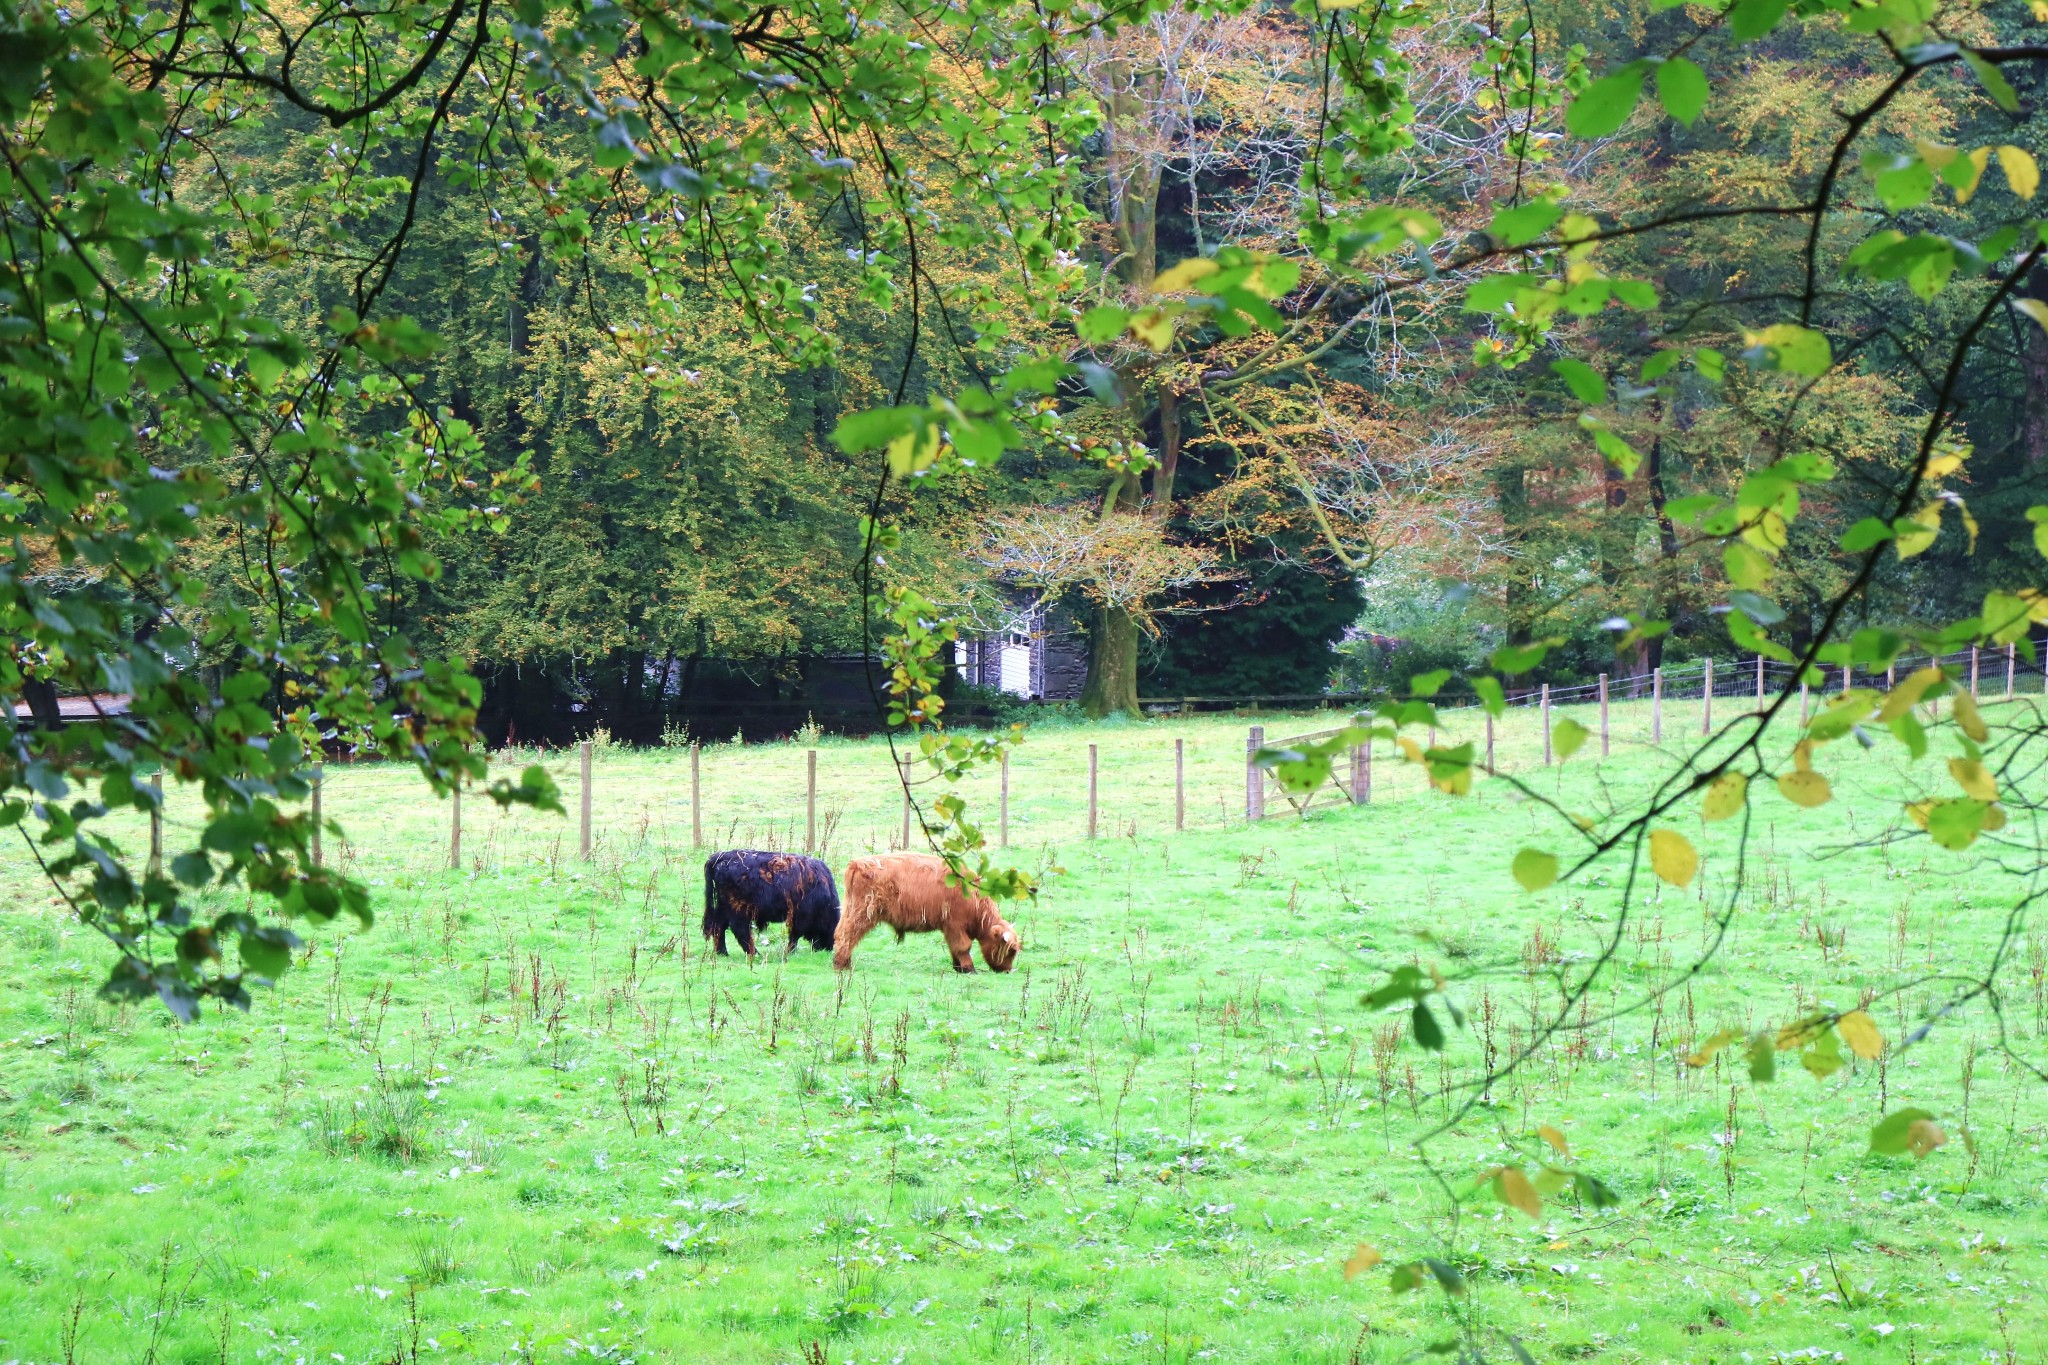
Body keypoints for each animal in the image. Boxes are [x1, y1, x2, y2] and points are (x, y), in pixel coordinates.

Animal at [700, 855, 835, 961]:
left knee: (719, 928)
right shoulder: (800, 917)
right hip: (739, 911)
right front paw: (790, 951)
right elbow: (795, 935)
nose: (827, 949)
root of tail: (719, 856)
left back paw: (723, 953)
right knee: (740, 930)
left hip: (722, 908)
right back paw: (754, 954)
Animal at [831, 855, 1024, 970]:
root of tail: (857, 864)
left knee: (840, 932)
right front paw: (969, 968)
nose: (1007, 970)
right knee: (847, 935)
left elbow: (954, 948)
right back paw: (842, 964)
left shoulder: (950, 928)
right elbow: (963, 947)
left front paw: (958, 967)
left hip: (849, 909)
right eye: (1011, 950)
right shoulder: (955, 925)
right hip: (863, 913)